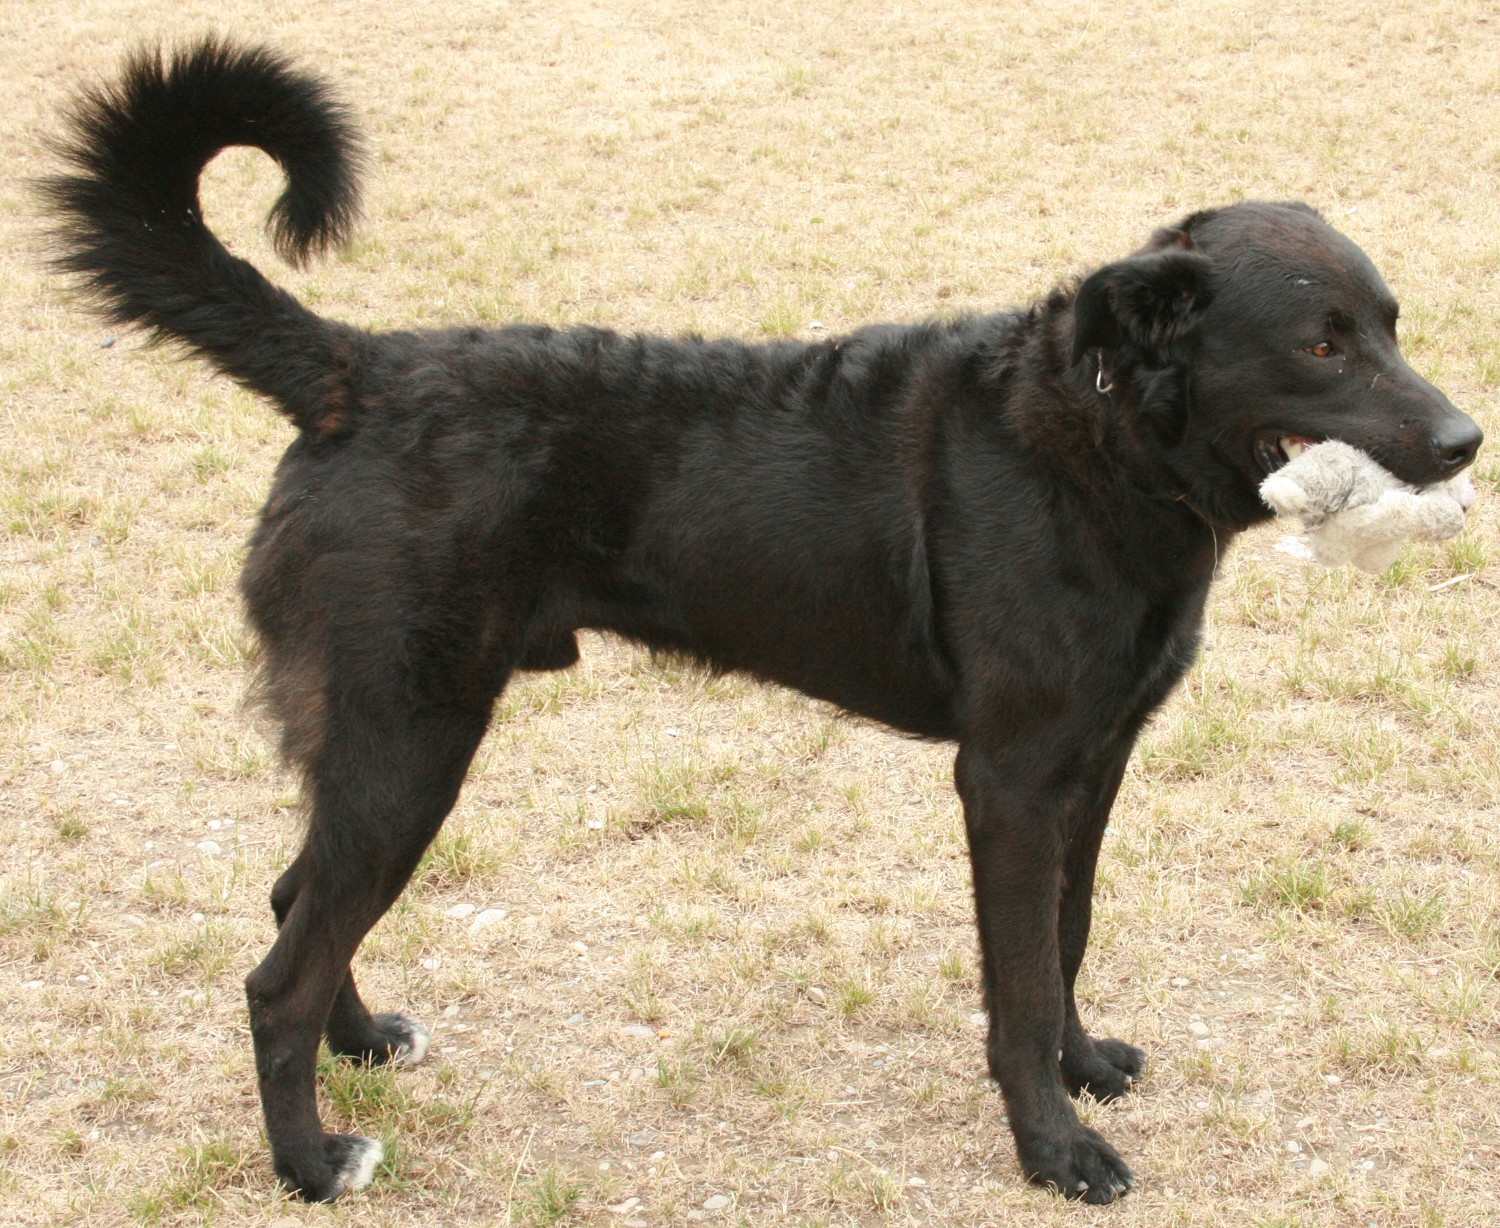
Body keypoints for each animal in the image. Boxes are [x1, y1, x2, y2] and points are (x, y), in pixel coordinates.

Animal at [42, 39, 1481, 1206]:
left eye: (1392, 325)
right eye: (1323, 344)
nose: (1467, 438)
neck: (1096, 439)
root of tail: (355, 369)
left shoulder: (1094, 763)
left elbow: (1065, 943)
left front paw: (1083, 1070)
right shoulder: (1010, 778)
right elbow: (1018, 983)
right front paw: (1054, 1149)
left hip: (381, 746)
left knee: (298, 898)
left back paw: (363, 1043)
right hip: (412, 740)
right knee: (276, 970)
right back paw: (309, 1163)